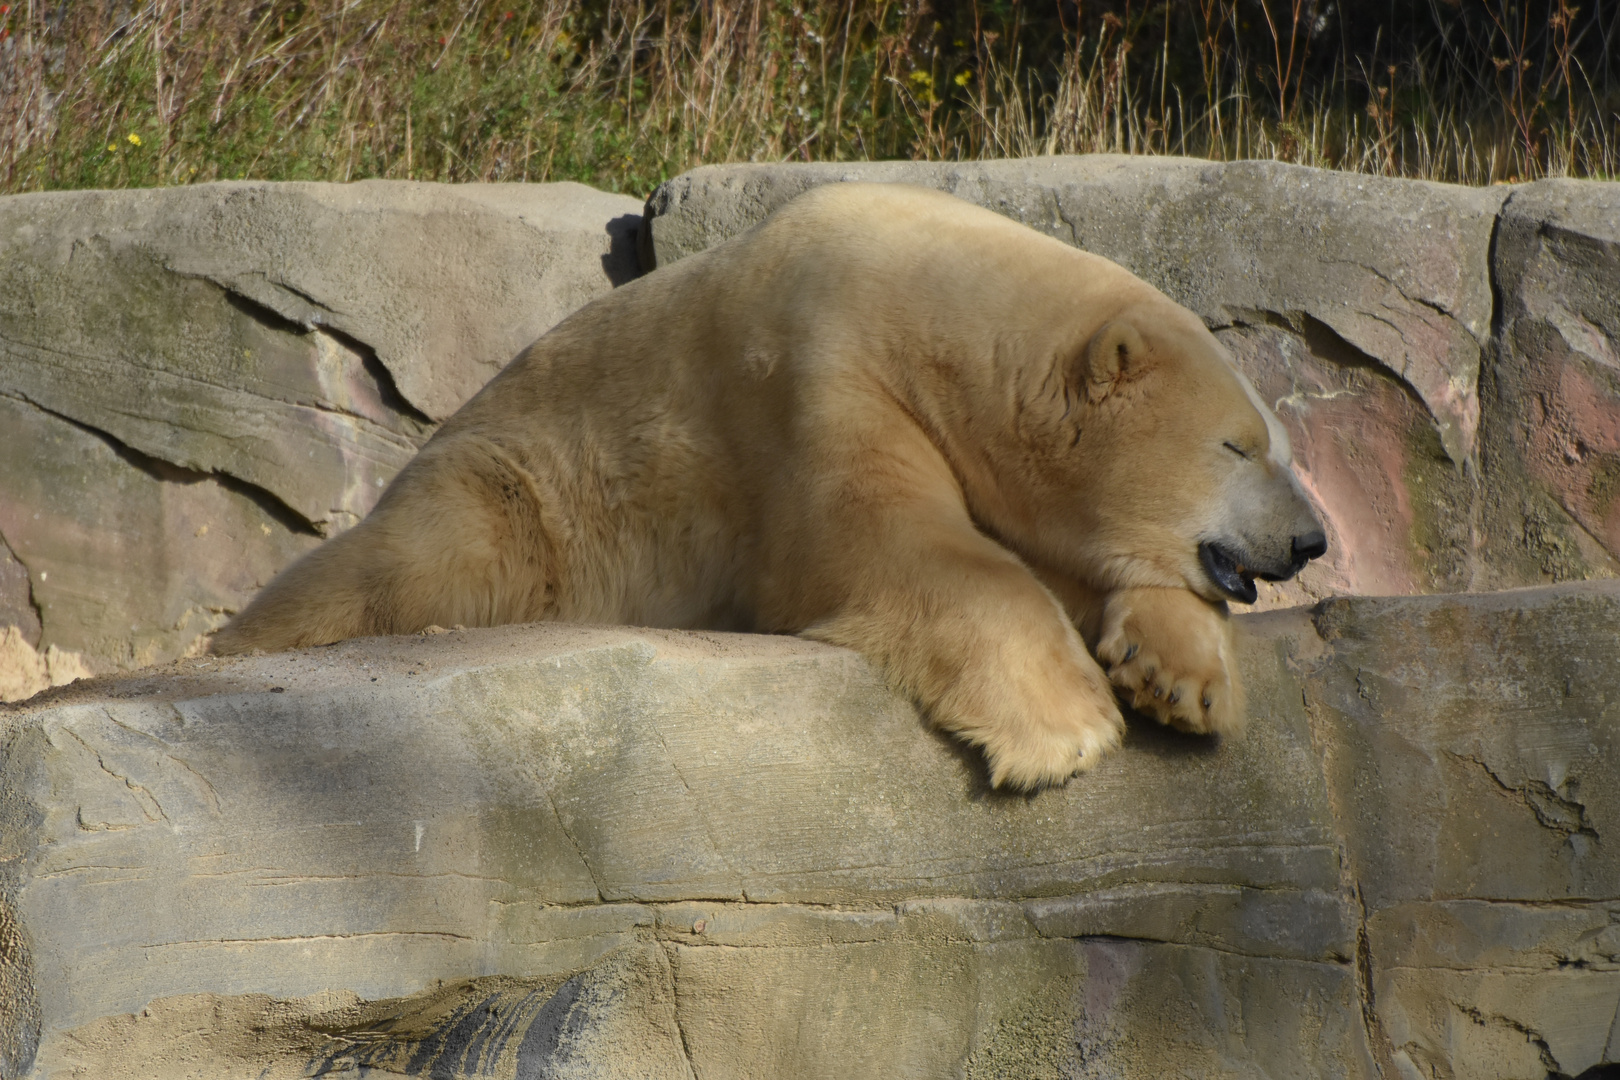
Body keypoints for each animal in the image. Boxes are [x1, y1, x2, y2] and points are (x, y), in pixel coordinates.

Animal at [218, 181, 1328, 790]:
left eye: (1276, 442)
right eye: (1237, 446)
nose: (1311, 539)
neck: (936, 308)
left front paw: (1179, 681)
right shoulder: (820, 367)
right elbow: (884, 542)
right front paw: (1066, 727)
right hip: (519, 486)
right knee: (415, 560)